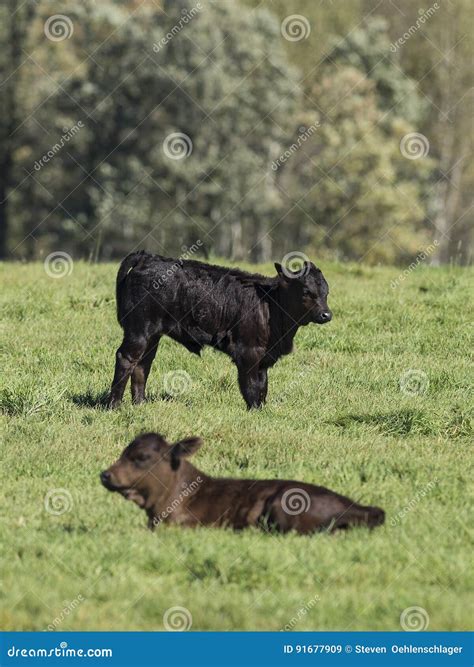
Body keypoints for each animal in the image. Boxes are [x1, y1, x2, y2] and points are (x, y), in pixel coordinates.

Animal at [107, 250, 332, 410]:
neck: (270, 305)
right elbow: (251, 386)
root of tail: (148, 257)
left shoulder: (264, 357)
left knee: (142, 364)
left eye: (326, 292)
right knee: (126, 358)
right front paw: (254, 411)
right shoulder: (248, 353)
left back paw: (140, 403)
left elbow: (263, 386)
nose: (326, 315)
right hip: (139, 330)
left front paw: (262, 409)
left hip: (152, 335)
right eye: (306, 291)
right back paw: (114, 406)